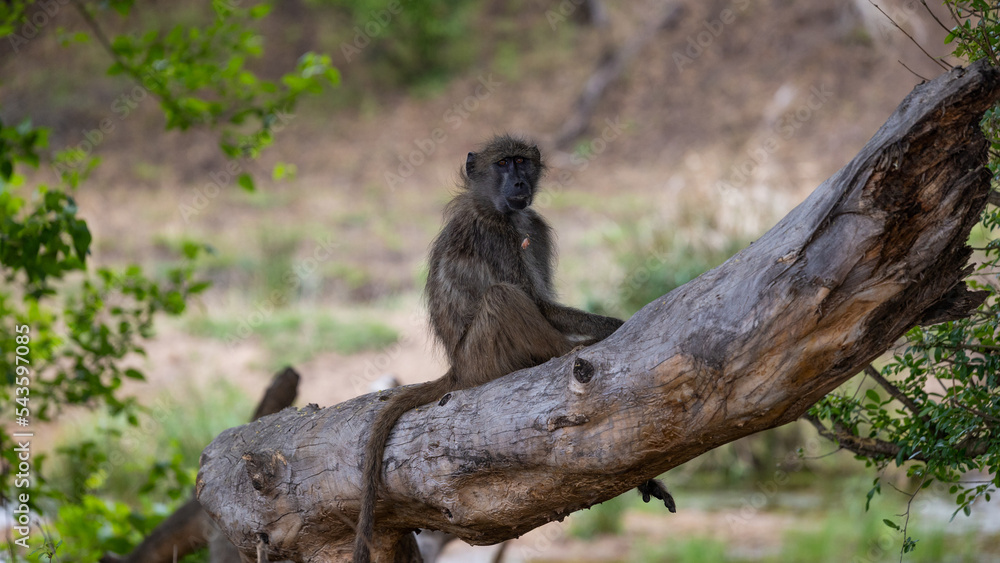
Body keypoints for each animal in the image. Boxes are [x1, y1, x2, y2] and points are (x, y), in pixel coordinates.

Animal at [354, 134, 674, 563]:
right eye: (504, 163)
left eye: (522, 162)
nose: (519, 183)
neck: (494, 208)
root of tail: (457, 369)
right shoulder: (496, 235)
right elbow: (537, 303)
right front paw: (615, 327)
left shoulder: (533, 226)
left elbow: (542, 299)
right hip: (484, 358)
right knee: (502, 297)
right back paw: (569, 352)